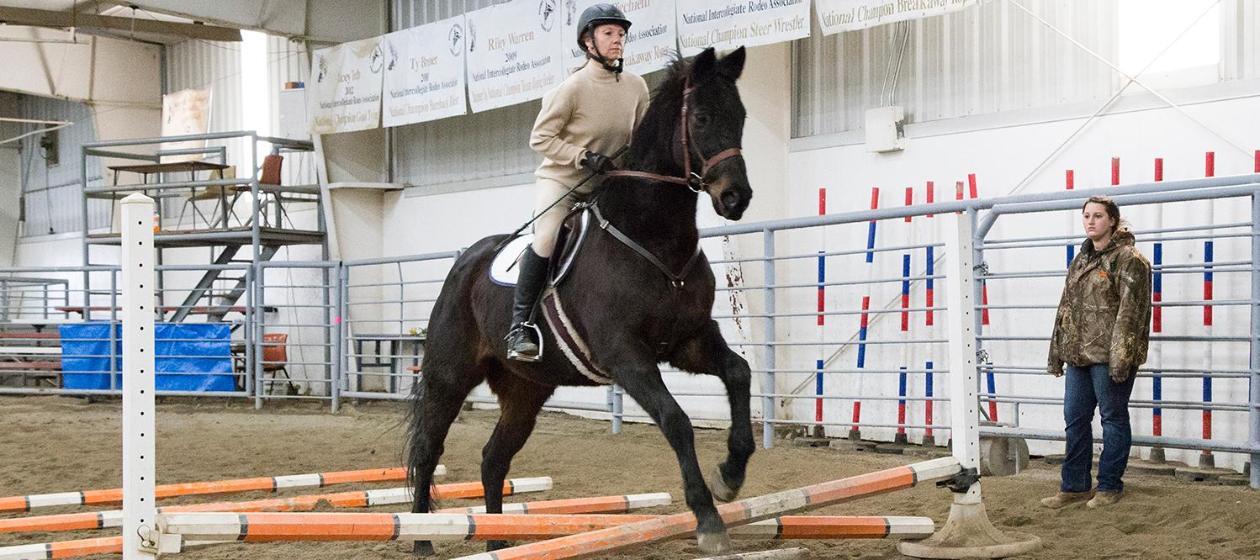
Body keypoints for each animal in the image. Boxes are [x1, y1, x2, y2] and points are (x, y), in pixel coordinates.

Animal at [408, 49, 750, 554]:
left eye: (741, 116)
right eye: (702, 118)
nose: (736, 197)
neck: (654, 238)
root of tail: (465, 262)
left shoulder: (688, 342)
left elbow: (739, 373)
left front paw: (730, 474)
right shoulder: (626, 356)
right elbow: (676, 420)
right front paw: (708, 519)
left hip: (526, 390)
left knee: (493, 458)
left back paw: (498, 541)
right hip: (448, 377)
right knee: (429, 450)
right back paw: (421, 538)